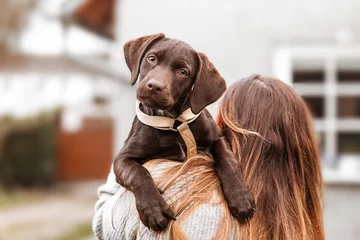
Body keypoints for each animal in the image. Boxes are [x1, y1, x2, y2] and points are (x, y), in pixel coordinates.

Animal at [114, 33, 255, 231]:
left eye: (183, 72)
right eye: (152, 58)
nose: (154, 86)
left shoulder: (217, 137)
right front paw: (153, 209)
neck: (174, 122)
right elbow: (138, 173)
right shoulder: (123, 158)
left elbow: (227, 159)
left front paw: (240, 196)